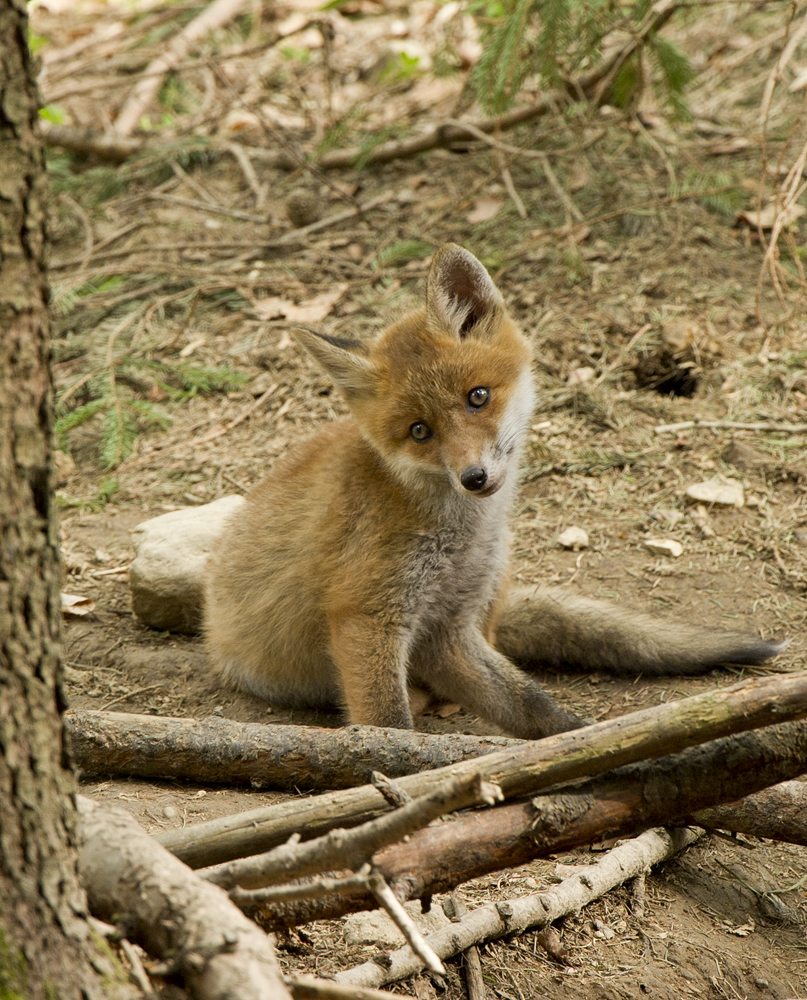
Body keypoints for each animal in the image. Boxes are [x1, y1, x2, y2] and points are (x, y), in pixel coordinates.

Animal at [204, 246, 784, 740]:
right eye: (420, 431)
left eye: (477, 397)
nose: (474, 478)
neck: (460, 532)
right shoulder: (366, 614)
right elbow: (388, 722)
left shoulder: (447, 628)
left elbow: (529, 703)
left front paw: (581, 743)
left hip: (494, 590)